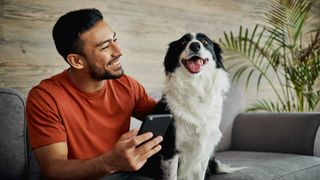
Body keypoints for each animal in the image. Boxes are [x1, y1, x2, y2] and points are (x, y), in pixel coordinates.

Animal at [140, 32, 232, 180]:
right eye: (183, 43)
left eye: (205, 42)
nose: (195, 45)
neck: (195, 86)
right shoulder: (171, 149)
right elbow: (172, 176)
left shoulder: (205, 148)